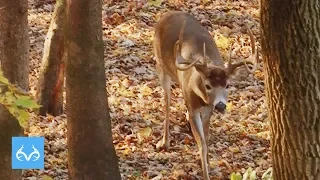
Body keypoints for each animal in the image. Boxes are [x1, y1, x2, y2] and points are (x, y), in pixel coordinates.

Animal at [154, 11, 258, 179]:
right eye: (208, 85)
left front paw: (208, 162)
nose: (221, 105)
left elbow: (207, 136)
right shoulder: (194, 109)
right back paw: (164, 142)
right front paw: (205, 172)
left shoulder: (209, 108)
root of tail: (167, 15)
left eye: (228, 85)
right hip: (161, 66)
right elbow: (202, 143)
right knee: (167, 101)